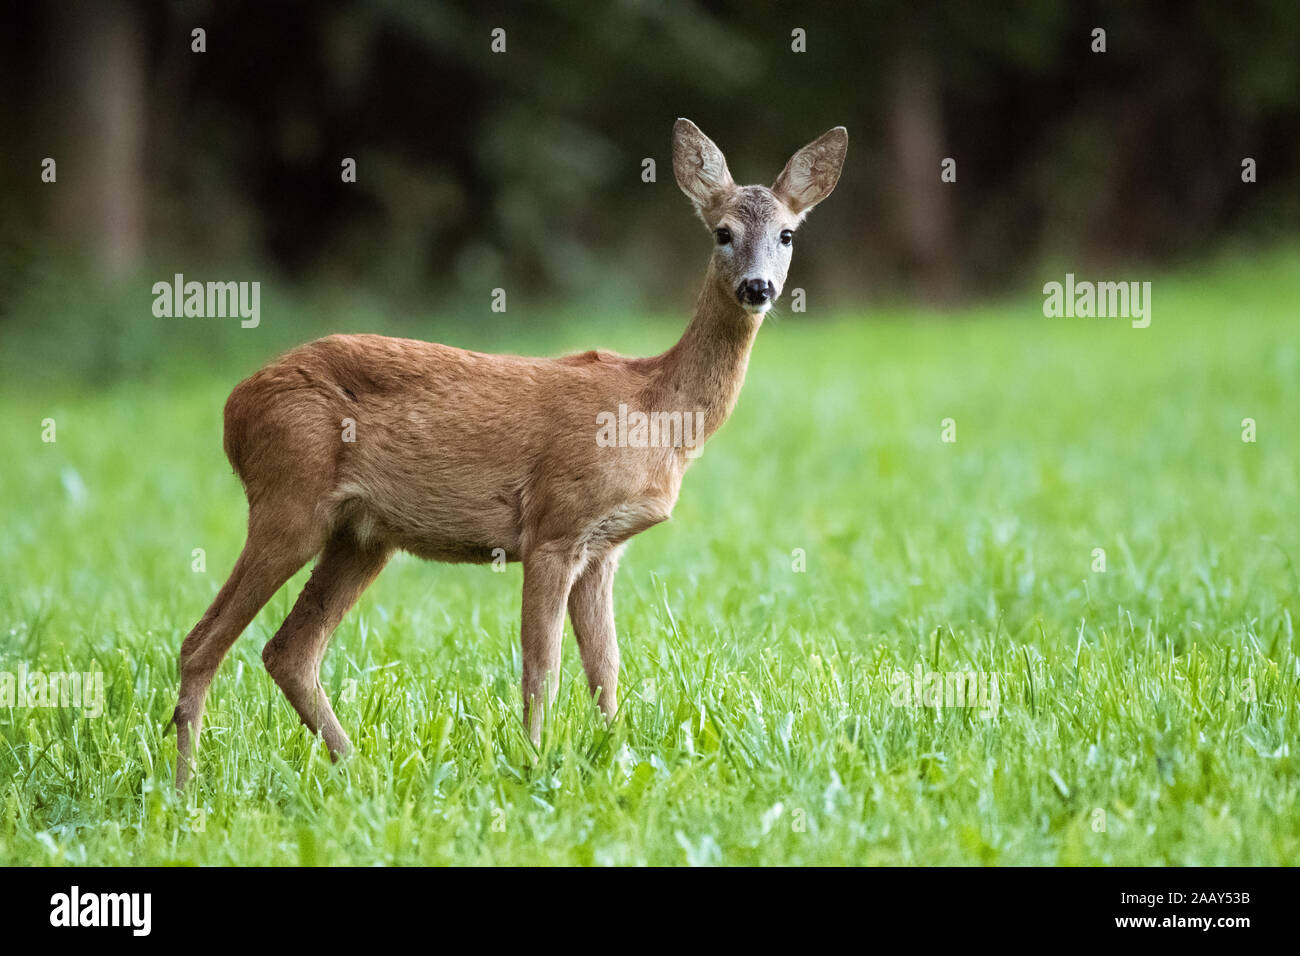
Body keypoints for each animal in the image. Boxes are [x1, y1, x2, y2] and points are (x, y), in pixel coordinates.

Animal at [167, 119, 847, 790]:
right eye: (722, 232)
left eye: (787, 233)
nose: (757, 287)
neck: (657, 413)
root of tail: (233, 409)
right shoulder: (554, 525)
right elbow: (542, 664)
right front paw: (536, 762)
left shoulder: (604, 548)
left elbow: (606, 667)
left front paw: (616, 755)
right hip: (291, 498)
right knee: (201, 641)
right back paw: (185, 789)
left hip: (362, 535)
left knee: (289, 650)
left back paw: (356, 772)